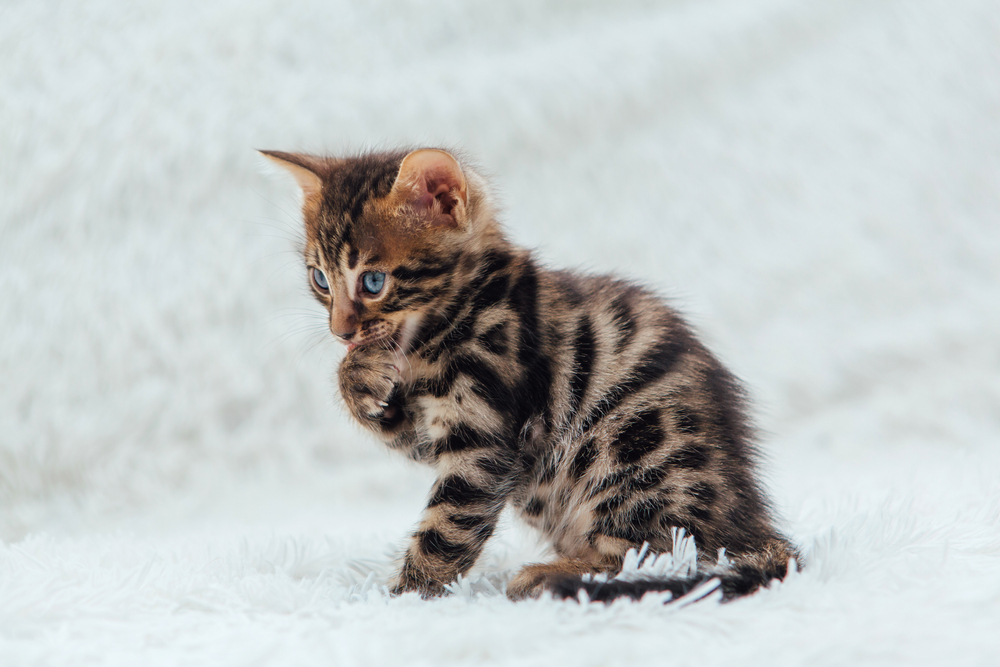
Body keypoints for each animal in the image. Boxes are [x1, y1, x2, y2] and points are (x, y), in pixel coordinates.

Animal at [264, 149, 796, 604]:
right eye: (320, 280)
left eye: (373, 282)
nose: (340, 331)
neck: (448, 321)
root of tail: (753, 528)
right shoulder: (429, 430)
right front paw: (359, 376)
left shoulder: (485, 431)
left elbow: (448, 526)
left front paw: (406, 597)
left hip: (631, 455)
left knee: (660, 554)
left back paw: (549, 575)